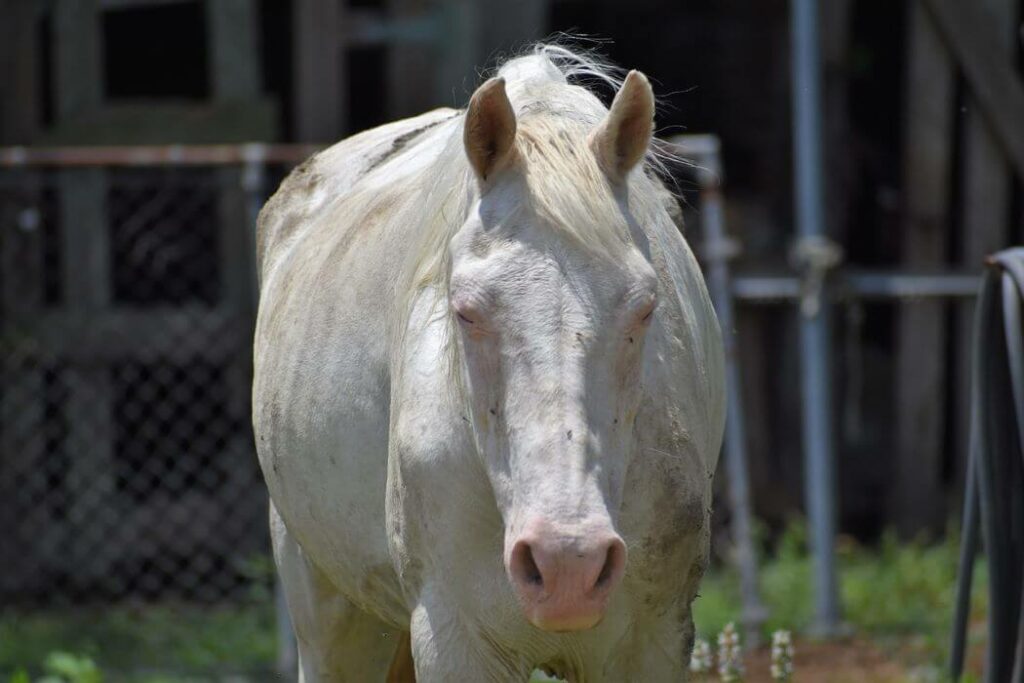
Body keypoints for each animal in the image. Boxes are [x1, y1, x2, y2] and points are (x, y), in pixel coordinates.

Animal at [251, 45, 724, 679]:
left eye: (646, 307)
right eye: (466, 311)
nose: (567, 563)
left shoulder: (651, 644)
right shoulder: (456, 641)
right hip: (328, 615)